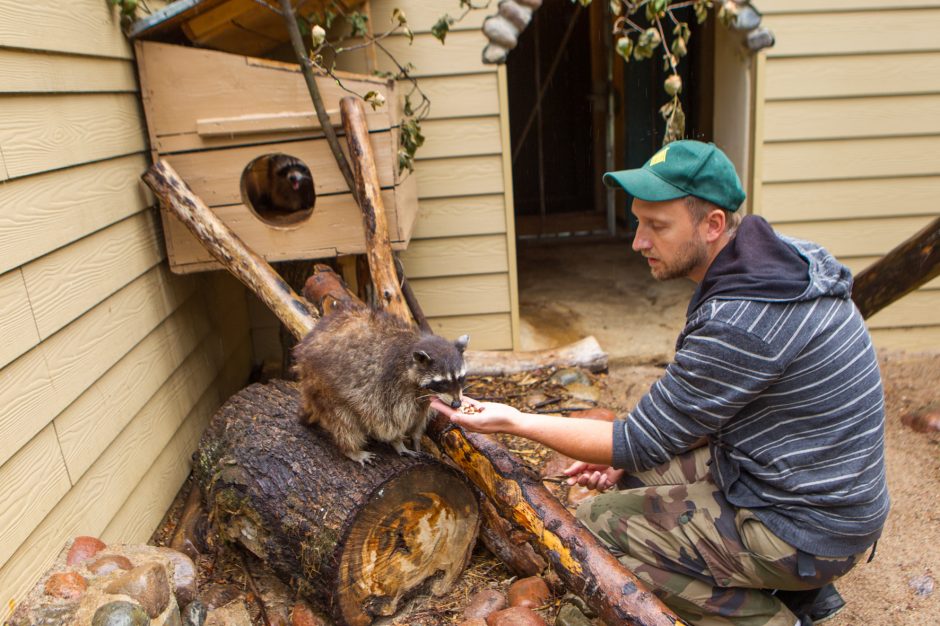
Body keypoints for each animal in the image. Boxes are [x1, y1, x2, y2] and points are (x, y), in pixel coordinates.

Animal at [292, 306, 468, 464]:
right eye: (442, 382)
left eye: (460, 378)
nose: (457, 403)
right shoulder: (388, 386)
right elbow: (385, 421)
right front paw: (398, 442)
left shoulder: (424, 398)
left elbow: (419, 418)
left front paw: (416, 439)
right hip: (325, 386)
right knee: (344, 422)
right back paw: (351, 449)